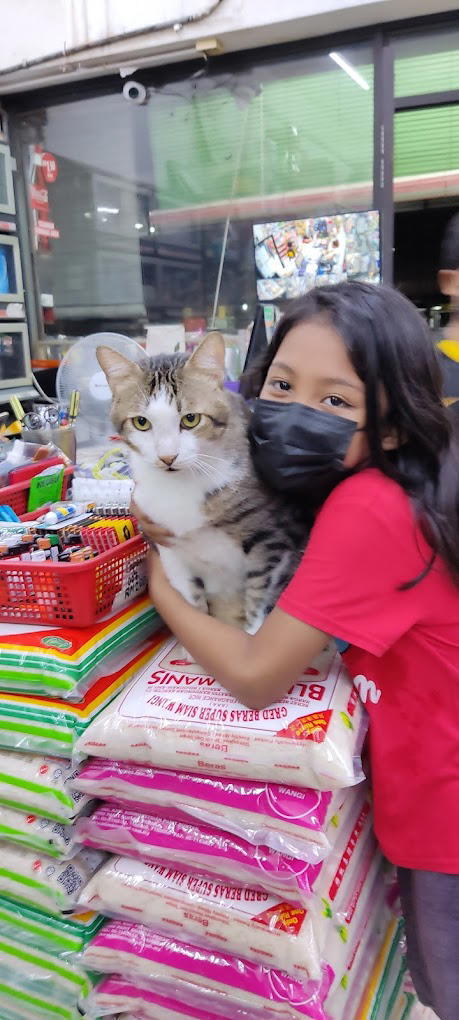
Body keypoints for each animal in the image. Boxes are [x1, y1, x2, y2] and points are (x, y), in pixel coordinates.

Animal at [98, 334, 310, 628]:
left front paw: (252, 628)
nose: (167, 457)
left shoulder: (273, 540)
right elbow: (192, 603)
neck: (180, 487)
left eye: (191, 419)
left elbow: (259, 606)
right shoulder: (168, 547)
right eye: (141, 422)